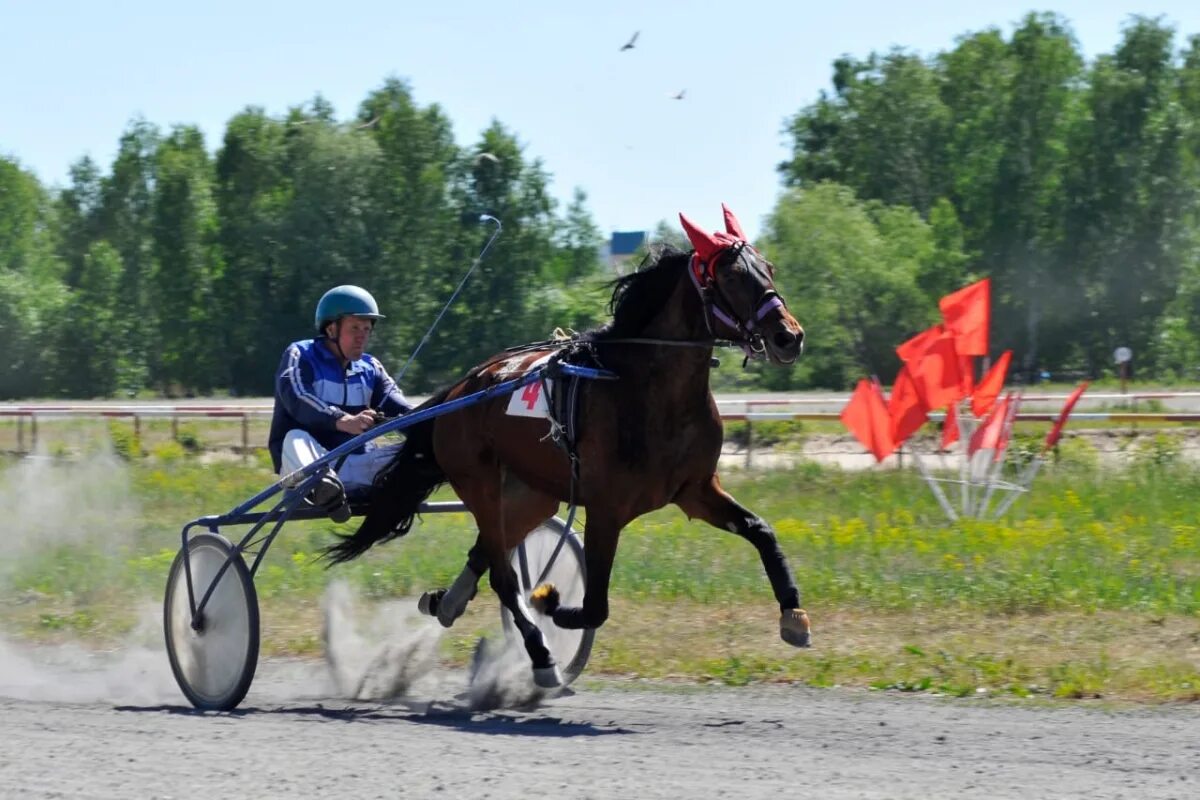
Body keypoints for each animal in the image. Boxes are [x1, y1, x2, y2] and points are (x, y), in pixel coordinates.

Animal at [324, 205, 811, 690]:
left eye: (768, 267)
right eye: (731, 276)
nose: (790, 336)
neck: (647, 391)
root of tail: (462, 388)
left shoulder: (695, 489)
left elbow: (761, 531)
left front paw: (794, 617)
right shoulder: (606, 508)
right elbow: (595, 605)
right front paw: (550, 602)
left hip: (531, 494)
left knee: (486, 553)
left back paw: (448, 603)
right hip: (479, 482)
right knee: (503, 575)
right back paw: (540, 655)